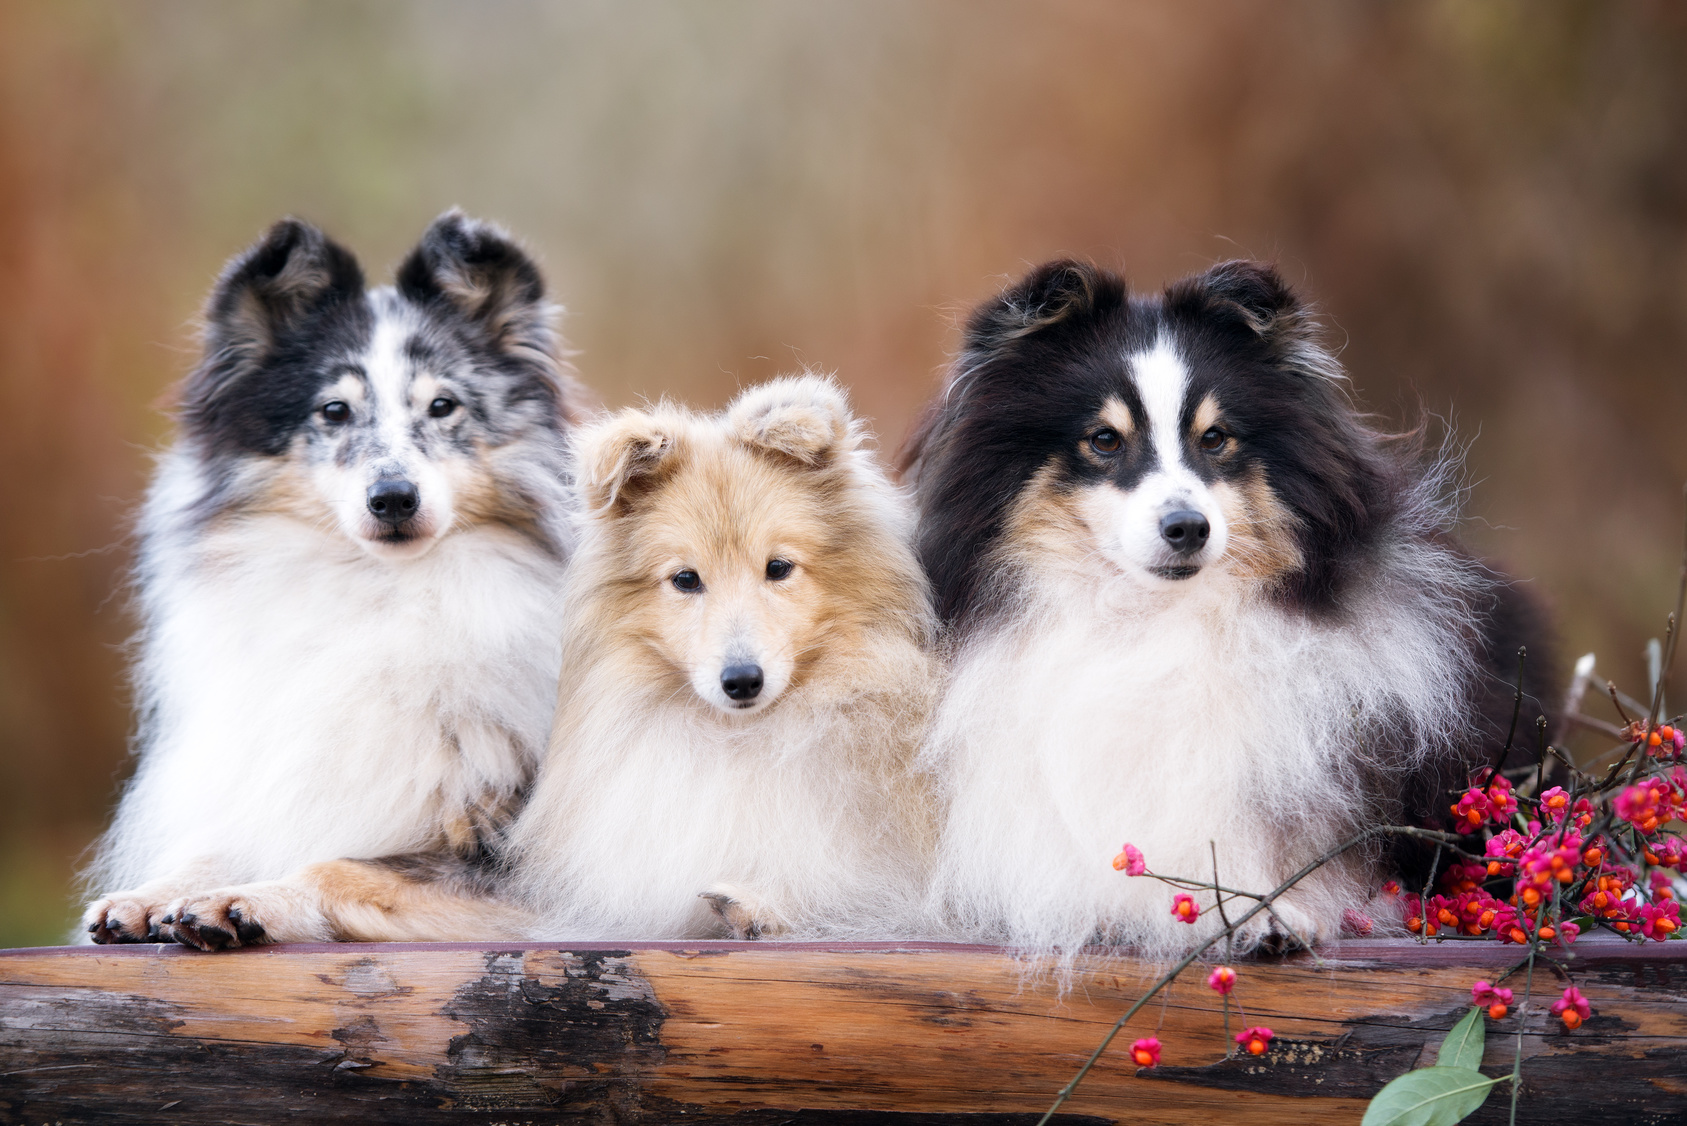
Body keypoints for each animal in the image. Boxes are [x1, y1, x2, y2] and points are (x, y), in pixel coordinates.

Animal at [82, 209, 583, 945]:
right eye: (334, 411)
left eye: (443, 406)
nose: (393, 499)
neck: (386, 599)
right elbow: (223, 842)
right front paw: (151, 894)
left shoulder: (528, 866)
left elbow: (340, 865)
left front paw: (241, 901)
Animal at [145, 374, 937, 945]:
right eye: (685, 580)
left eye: (779, 568)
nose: (740, 681)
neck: (741, 739)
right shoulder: (564, 894)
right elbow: (342, 871)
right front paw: (229, 902)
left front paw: (761, 906)